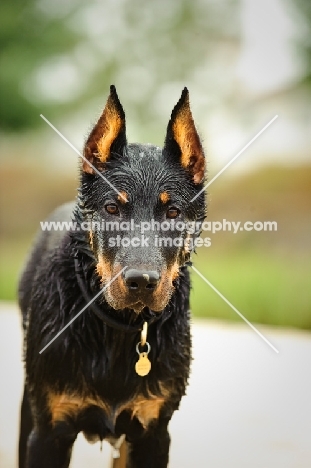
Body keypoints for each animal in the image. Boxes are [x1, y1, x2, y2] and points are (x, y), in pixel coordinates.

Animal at [17, 86, 207, 466]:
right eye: (112, 208)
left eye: (173, 212)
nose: (141, 282)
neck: (115, 330)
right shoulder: (49, 431)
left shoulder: (153, 432)